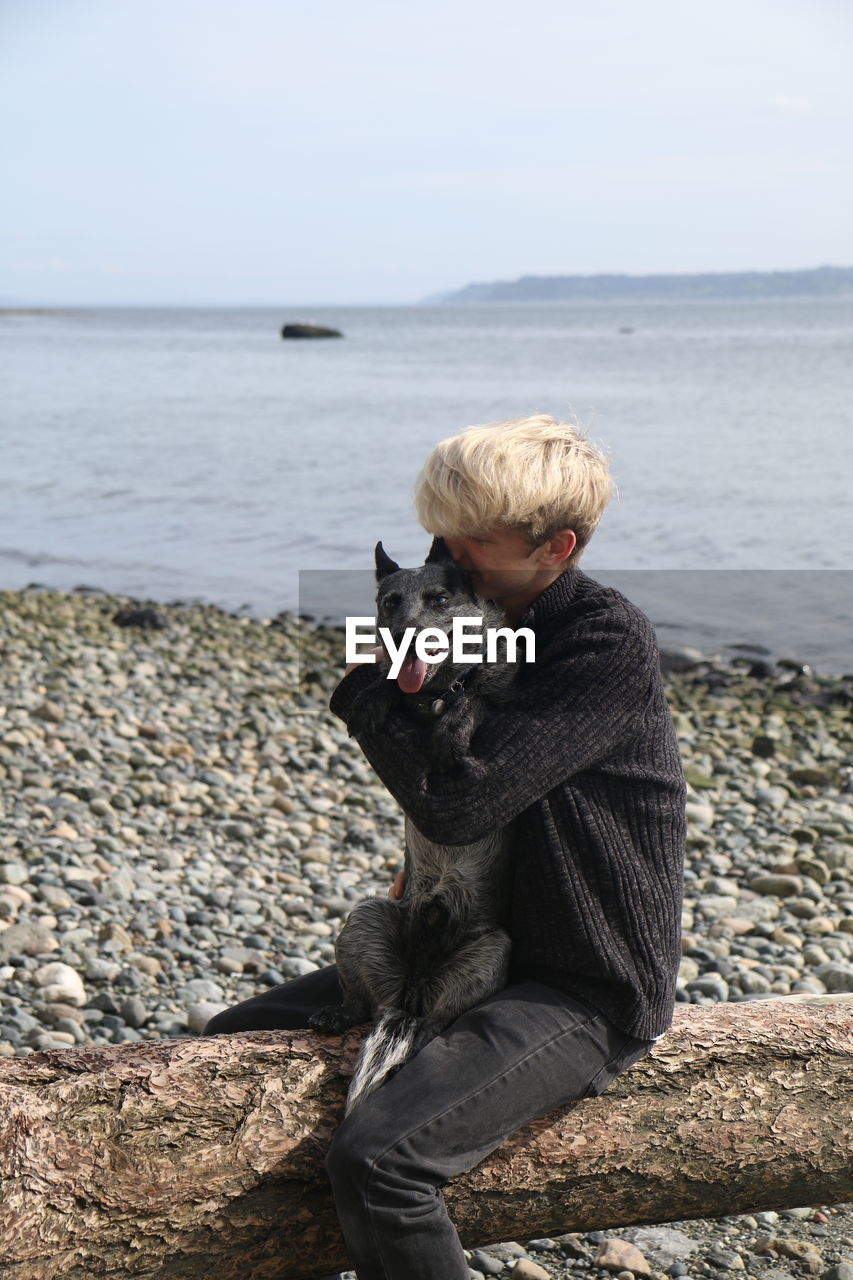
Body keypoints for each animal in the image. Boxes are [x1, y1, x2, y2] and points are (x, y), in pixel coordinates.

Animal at [307, 540, 517, 1111]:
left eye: (440, 598)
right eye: (389, 602)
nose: (404, 637)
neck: (435, 693)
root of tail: (414, 987)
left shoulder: (493, 693)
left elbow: (475, 699)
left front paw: (453, 729)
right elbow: (387, 686)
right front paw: (375, 696)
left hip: (492, 952)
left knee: (439, 1022)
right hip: (365, 918)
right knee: (362, 1004)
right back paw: (339, 1012)